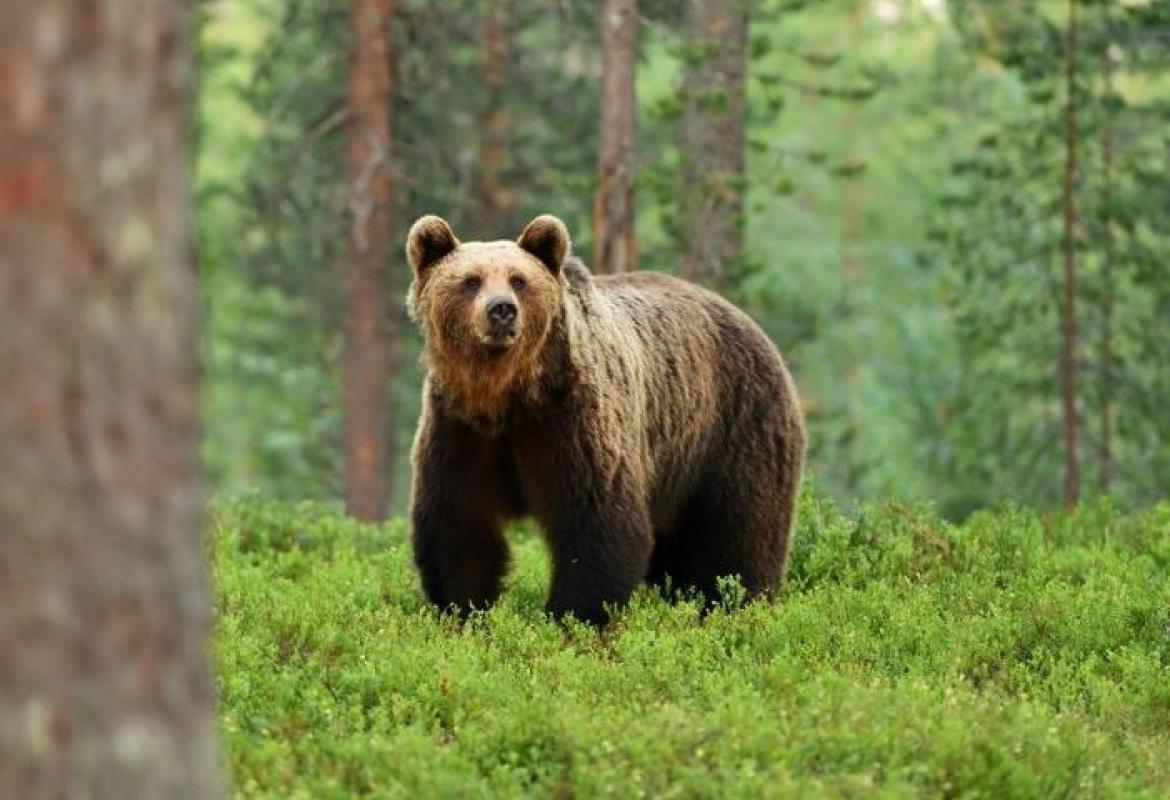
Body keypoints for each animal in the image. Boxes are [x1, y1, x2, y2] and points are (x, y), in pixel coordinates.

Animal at [404, 212, 804, 626]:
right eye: (470, 281)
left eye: (519, 280)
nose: (501, 309)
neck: (507, 396)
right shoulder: (460, 430)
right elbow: (460, 528)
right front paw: (464, 613)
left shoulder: (570, 423)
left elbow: (596, 524)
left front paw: (571, 619)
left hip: (733, 427)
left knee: (739, 537)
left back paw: (736, 605)